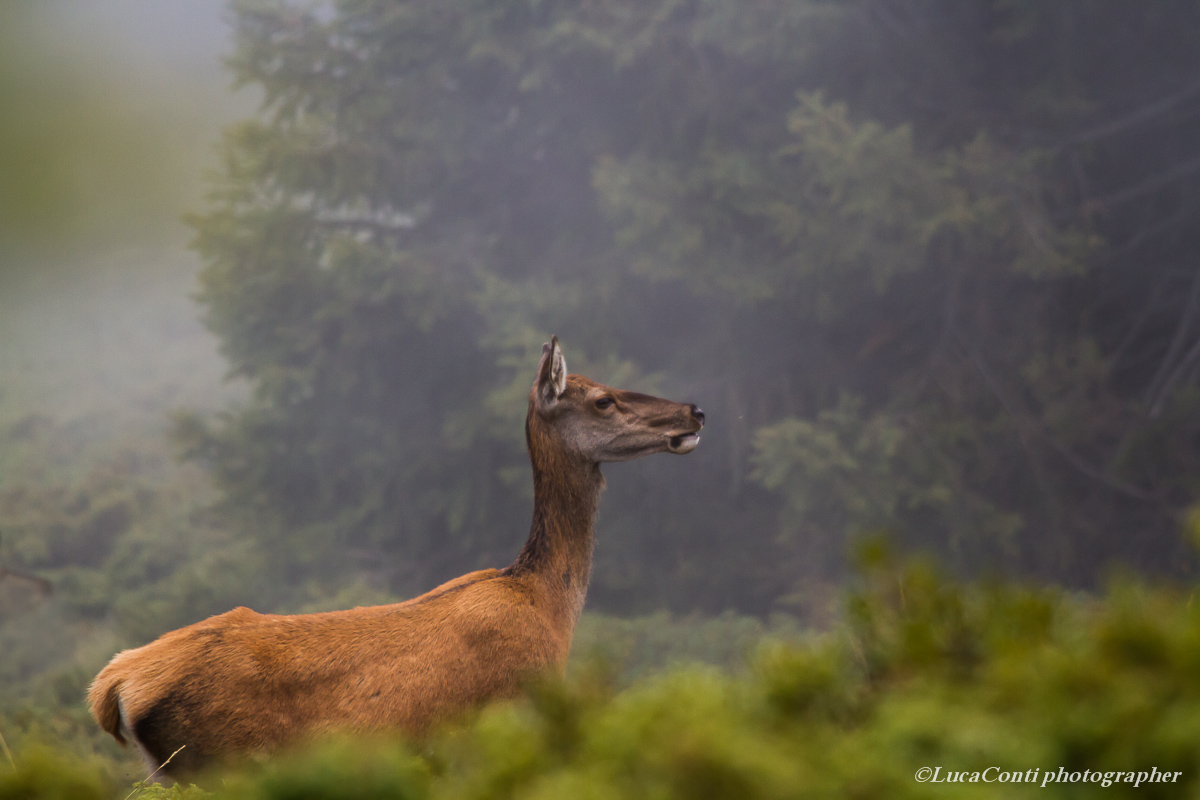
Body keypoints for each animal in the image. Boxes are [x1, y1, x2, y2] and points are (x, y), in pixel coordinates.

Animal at [91, 338, 700, 777]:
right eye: (602, 399)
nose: (694, 411)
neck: (548, 603)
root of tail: (113, 685)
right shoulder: (506, 716)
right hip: (217, 764)